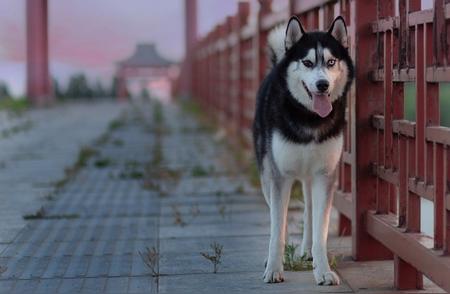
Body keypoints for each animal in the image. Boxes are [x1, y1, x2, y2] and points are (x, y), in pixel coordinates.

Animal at [253, 16, 356, 284]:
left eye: (331, 62)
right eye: (308, 62)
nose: (322, 84)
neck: (310, 120)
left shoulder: (324, 175)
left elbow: (321, 230)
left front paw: (323, 270)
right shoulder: (279, 176)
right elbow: (277, 228)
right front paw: (274, 268)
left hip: (310, 177)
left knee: (309, 210)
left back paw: (306, 251)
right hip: (267, 174)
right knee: (278, 217)